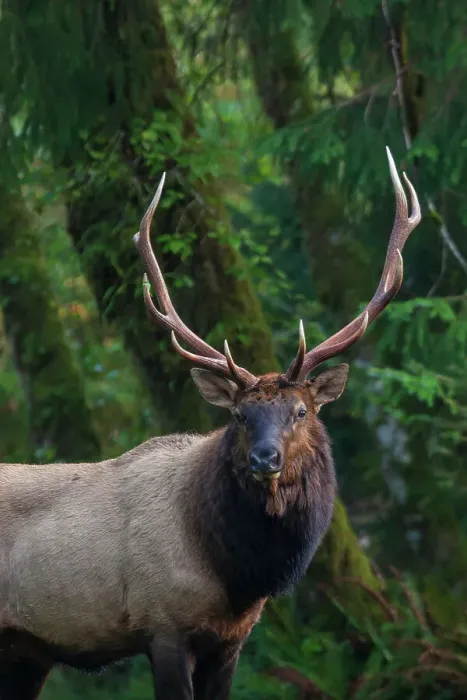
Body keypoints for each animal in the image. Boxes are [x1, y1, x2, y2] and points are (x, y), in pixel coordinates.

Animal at [0, 148, 421, 699]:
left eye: (301, 411)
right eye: (239, 415)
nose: (265, 458)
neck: (234, 576)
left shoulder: (231, 640)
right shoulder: (162, 624)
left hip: (26, 653)